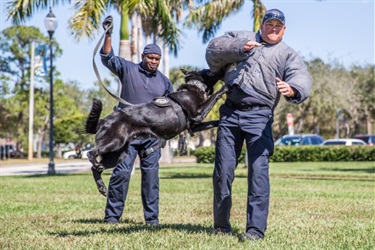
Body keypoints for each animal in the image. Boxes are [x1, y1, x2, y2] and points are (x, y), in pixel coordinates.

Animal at [86, 69, 226, 196]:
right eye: (209, 71)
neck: (194, 87)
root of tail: (103, 120)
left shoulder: (196, 125)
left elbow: (214, 121)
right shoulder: (198, 113)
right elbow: (215, 95)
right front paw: (225, 87)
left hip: (118, 156)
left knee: (95, 169)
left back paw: (102, 187)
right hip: (114, 142)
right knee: (90, 153)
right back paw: (95, 164)